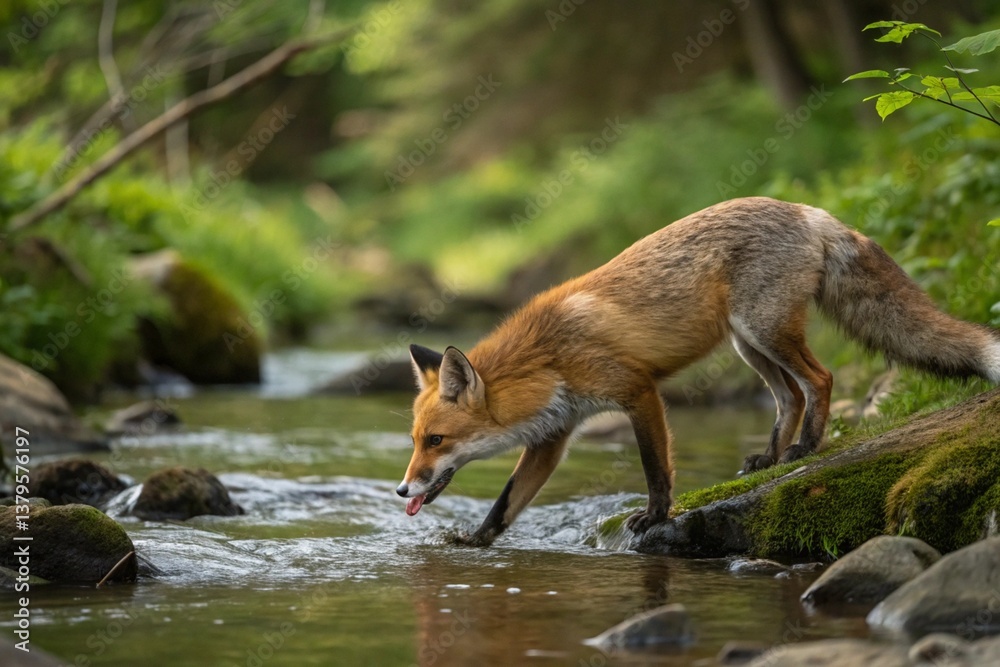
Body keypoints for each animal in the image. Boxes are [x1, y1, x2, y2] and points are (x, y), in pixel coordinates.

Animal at [396, 197, 1000, 546]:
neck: (548, 356)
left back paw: (803, 449)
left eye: (436, 440)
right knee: (789, 395)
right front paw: (476, 541)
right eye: (415, 440)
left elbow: (654, 466)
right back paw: (769, 458)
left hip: (764, 330)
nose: (402, 489)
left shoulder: (637, 391)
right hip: (747, 345)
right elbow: (507, 502)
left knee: (820, 380)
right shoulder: (554, 435)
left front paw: (656, 516)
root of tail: (809, 209)